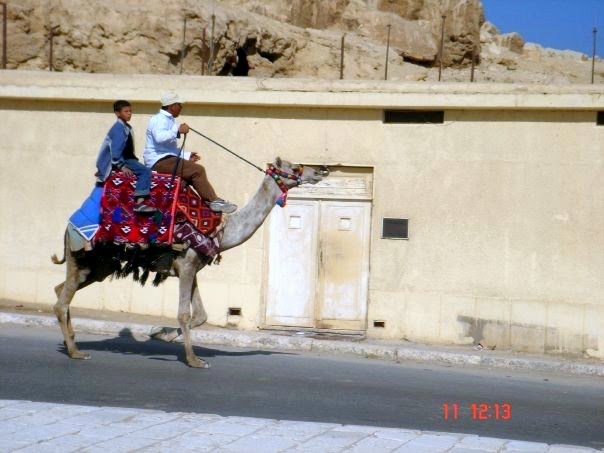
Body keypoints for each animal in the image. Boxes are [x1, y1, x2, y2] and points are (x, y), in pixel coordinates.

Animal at [51, 159, 326, 368]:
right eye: (294, 167)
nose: (320, 170)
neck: (222, 230)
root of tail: (67, 226)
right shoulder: (185, 265)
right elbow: (184, 313)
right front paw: (195, 360)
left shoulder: (193, 268)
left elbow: (201, 314)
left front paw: (161, 334)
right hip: (83, 255)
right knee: (62, 300)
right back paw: (76, 352)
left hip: (99, 265)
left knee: (61, 290)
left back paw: (70, 341)